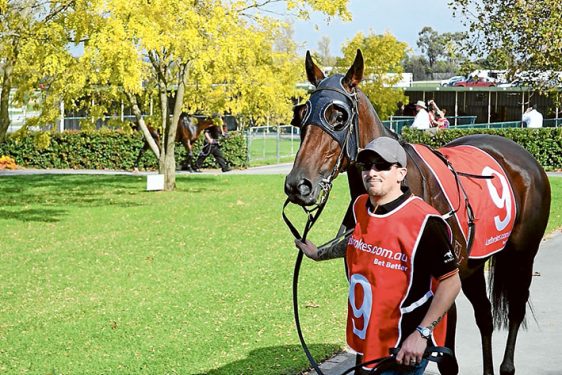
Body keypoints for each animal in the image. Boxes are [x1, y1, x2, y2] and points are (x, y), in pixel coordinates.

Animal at [282, 50, 548, 375]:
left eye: (339, 116)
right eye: (301, 114)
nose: (298, 184)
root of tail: (522, 155)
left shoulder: (442, 294)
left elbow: (446, 360)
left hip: (522, 256)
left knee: (516, 310)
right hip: (473, 266)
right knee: (485, 316)